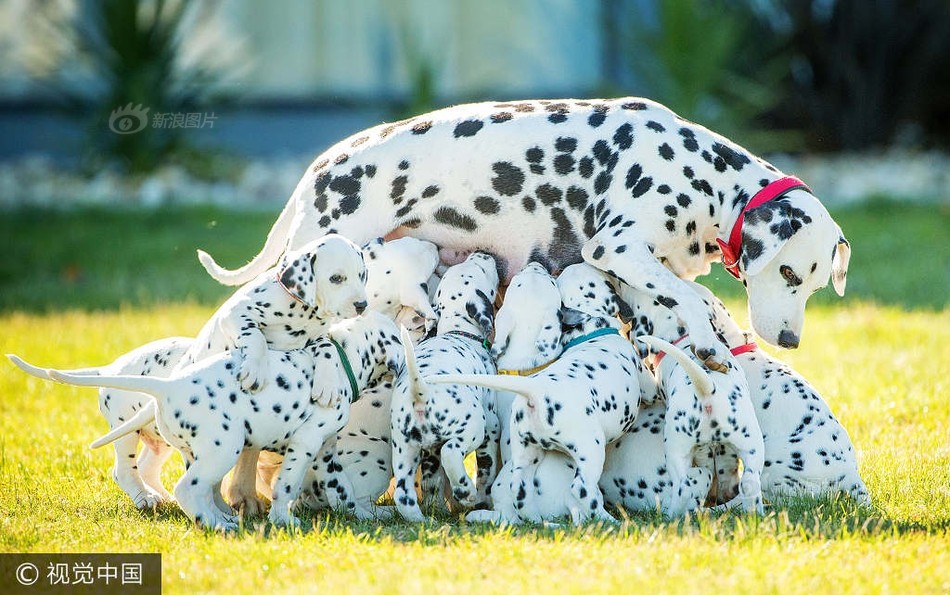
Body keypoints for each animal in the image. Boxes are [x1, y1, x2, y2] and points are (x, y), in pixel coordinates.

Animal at [8, 340, 192, 512]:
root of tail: (109, 370)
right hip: (125, 430)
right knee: (123, 470)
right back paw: (144, 497)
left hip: (160, 437)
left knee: (146, 468)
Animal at [44, 312, 404, 532]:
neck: (343, 361)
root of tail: (168, 386)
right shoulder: (305, 445)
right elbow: (287, 485)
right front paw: (282, 519)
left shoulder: (325, 451)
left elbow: (342, 489)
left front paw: (362, 513)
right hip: (222, 448)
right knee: (184, 488)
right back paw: (214, 523)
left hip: (194, 452)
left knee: (199, 489)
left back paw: (218, 516)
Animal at [390, 251, 502, 520]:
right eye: (481, 269)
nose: (483, 253)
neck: (458, 331)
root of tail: (421, 392)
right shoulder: (492, 428)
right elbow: (487, 471)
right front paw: (481, 498)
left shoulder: (429, 451)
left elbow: (432, 481)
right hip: (473, 428)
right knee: (451, 452)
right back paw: (465, 491)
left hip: (404, 449)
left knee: (404, 495)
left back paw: (422, 521)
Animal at [434, 264, 652, 524]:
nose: (536, 264)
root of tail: (536, 391)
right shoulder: (644, 379)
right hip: (589, 449)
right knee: (581, 490)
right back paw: (610, 521)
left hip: (525, 452)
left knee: (519, 488)